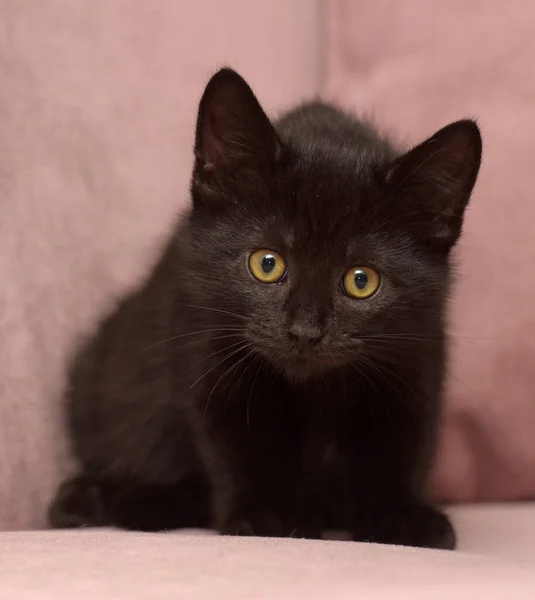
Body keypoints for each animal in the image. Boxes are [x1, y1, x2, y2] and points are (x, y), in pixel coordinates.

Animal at [50, 67, 484, 548]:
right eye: (267, 263)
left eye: (361, 280)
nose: (305, 331)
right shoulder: (206, 338)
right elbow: (238, 439)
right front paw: (266, 516)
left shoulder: (416, 352)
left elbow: (402, 441)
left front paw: (402, 515)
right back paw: (93, 499)